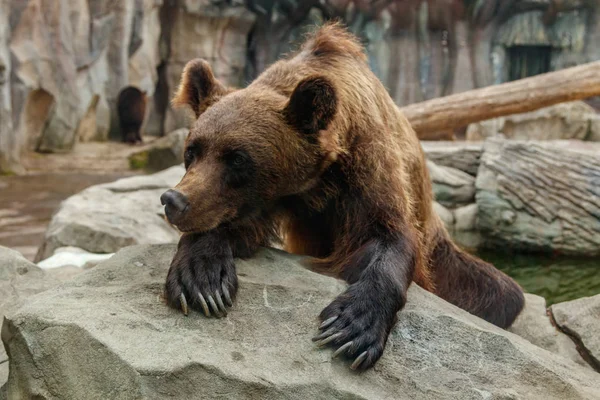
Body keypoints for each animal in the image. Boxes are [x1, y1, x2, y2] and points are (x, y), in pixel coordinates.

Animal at [161, 22, 524, 372]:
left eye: (237, 158)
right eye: (192, 150)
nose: (173, 200)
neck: (312, 184)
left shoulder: (367, 164)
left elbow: (388, 237)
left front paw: (351, 326)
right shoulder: (268, 201)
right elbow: (233, 230)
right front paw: (203, 280)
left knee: (502, 293)